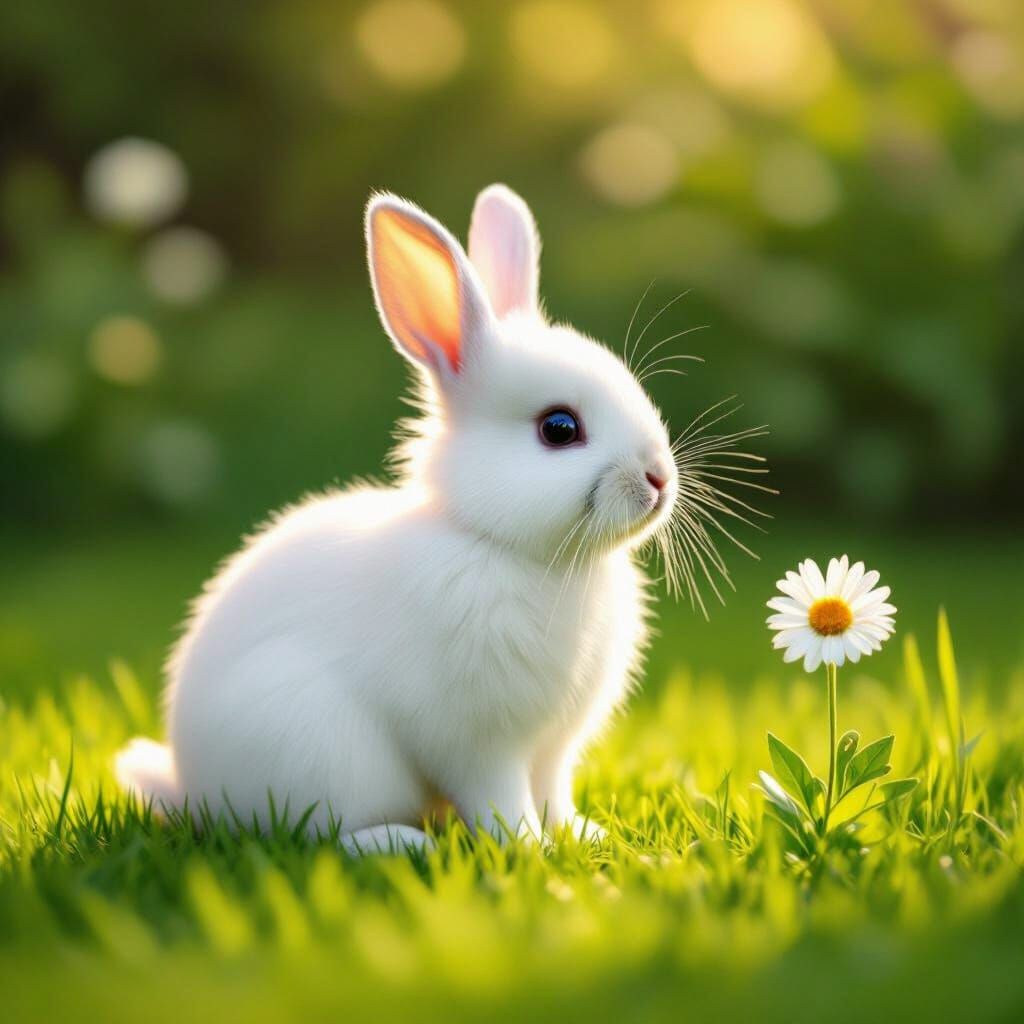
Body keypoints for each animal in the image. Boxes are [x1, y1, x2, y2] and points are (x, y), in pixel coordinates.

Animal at [115, 184, 680, 853]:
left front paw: (579, 836)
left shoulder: (553, 746)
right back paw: (405, 843)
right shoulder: (479, 746)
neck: (506, 547)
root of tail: (190, 784)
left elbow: (553, 793)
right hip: (322, 755)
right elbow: (501, 802)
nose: (659, 478)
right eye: (559, 428)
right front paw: (527, 849)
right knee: (325, 835)